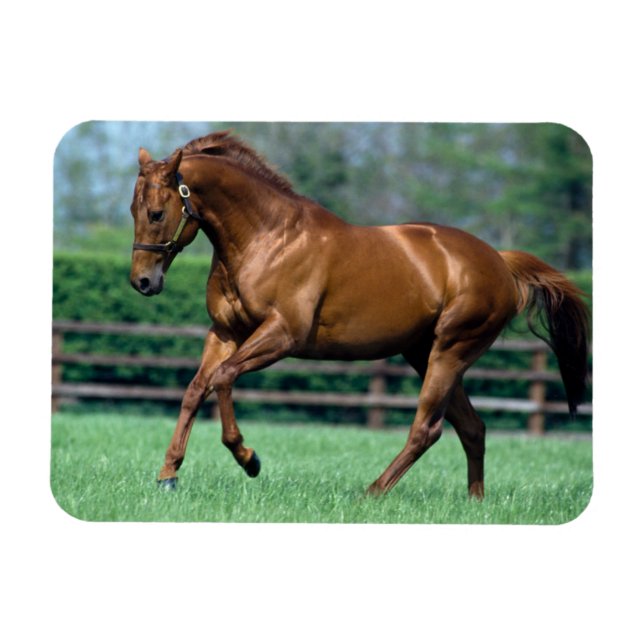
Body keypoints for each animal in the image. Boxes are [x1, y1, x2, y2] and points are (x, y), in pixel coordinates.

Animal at [130, 131, 589, 498]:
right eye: (133, 211)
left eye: (156, 213)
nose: (143, 282)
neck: (267, 238)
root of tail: (499, 262)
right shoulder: (225, 332)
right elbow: (195, 389)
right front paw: (168, 475)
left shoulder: (282, 335)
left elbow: (223, 379)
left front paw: (248, 458)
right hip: (424, 354)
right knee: (472, 428)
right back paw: (474, 502)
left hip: (450, 352)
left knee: (428, 429)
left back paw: (372, 492)